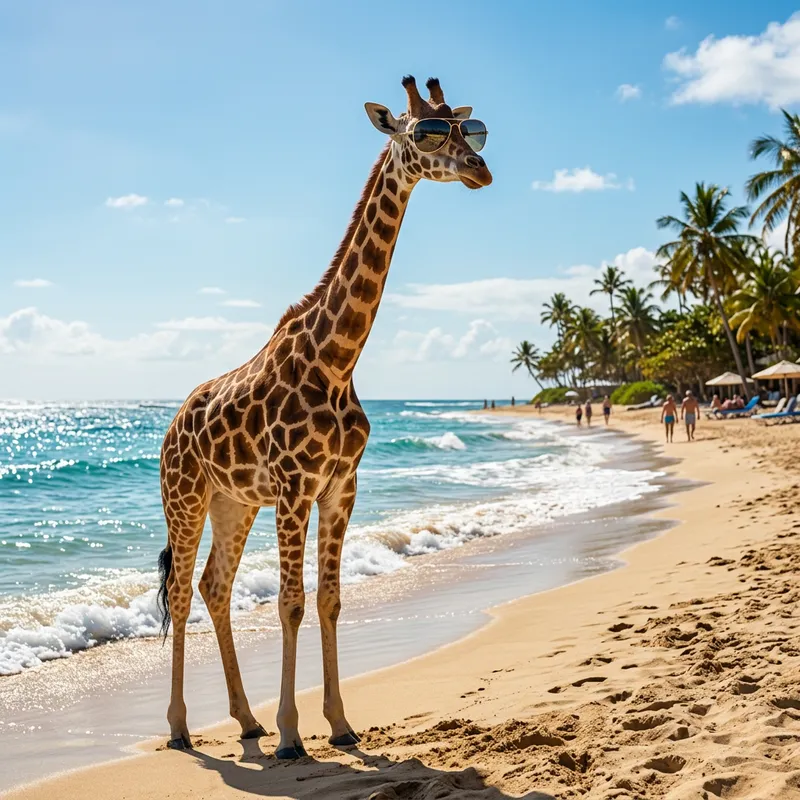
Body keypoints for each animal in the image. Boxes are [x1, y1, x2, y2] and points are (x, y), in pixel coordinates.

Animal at [156, 75, 492, 758]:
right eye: (425, 132)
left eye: (471, 131)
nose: (482, 170)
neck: (336, 361)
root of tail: (170, 430)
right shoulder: (294, 486)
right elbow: (291, 602)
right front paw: (292, 734)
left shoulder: (341, 486)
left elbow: (331, 600)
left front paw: (338, 724)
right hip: (186, 497)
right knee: (179, 594)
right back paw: (181, 728)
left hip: (233, 503)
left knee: (213, 587)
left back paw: (245, 720)